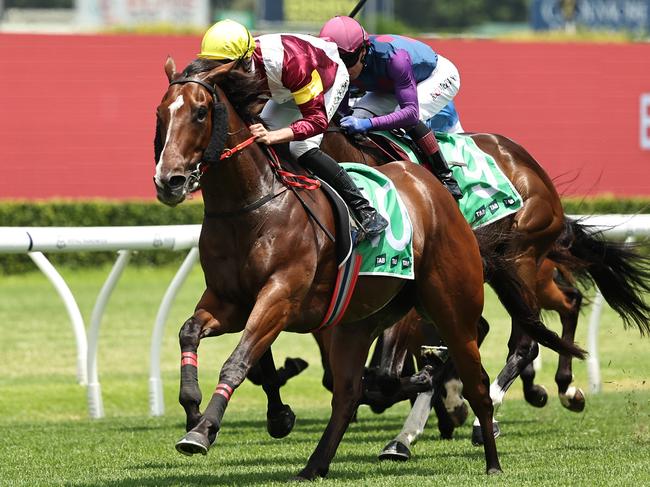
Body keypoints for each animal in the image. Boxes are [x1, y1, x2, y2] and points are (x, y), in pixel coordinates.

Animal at [156, 55, 506, 478]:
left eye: (200, 112)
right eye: (160, 113)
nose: (169, 180)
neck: (252, 206)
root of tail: (431, 185)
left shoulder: (279, 297)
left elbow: (238, 361)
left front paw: (203, 429)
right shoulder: (229, 302)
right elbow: (189, 332)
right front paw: (193, 409)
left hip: (452, 308)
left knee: (477, 381)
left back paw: (489, 459)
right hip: (358, 321)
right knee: (349, 393)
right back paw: (315, 464)